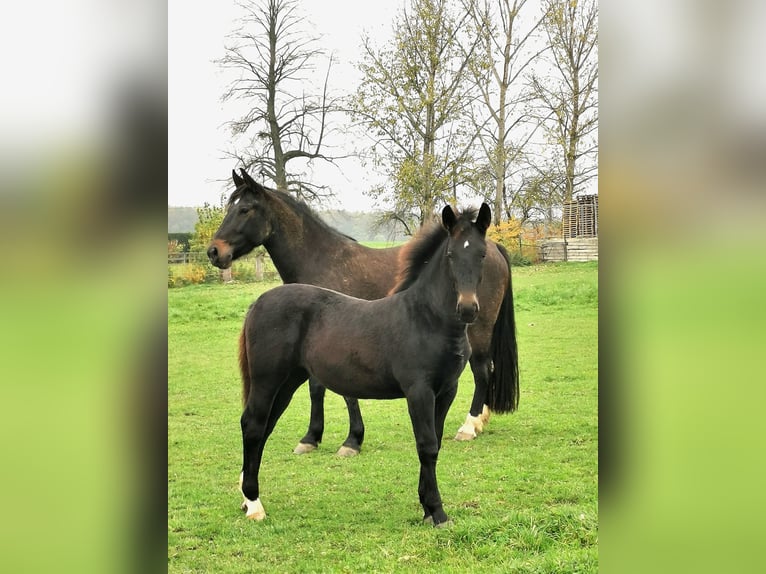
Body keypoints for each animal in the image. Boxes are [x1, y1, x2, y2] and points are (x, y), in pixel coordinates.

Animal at [210, 169, 520, 456]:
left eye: (244, 209)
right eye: (229, 207)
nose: (214, 251)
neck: (322, 260)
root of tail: (495, 247)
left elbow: (334, 391)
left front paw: (350, 440)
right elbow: (318, 388)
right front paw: (313, 437)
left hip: (479, 330)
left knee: (482, 370)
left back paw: (470, 425)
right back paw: (482, 420)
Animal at [240, 205, 500, 528]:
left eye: (481, 254)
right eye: (451, 254)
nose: (467, 309)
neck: (426, 319)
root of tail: (257, 304)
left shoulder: (446, 391)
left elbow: (435, 444)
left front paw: (427, 508)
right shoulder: (419, 392)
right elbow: (426, 445)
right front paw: (437, 512)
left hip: (287, 383)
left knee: (264, 426)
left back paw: (246, 497)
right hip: (267, 380)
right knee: (253, 426)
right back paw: (254, 504)